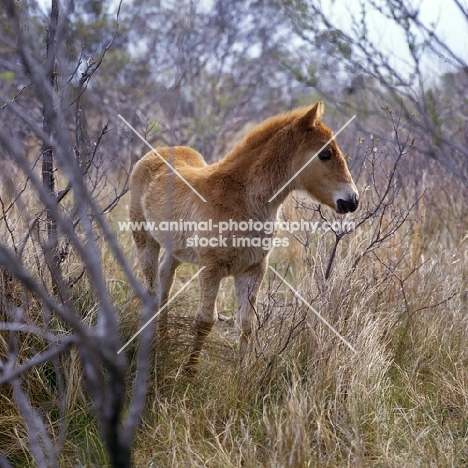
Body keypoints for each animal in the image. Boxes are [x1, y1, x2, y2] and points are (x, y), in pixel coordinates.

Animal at [128, 101, 358, 370]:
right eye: (325, 154)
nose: (352, 200)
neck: (240, 198)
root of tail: (154, 153)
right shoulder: (211, 268)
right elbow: (205, 321)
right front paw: (189, 373)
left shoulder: (253, 269)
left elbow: (247, 324)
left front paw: (242, 373)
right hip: (144, 238)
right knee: (152, 290)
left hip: (175, 248)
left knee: (165, 283)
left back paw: (163, 339)